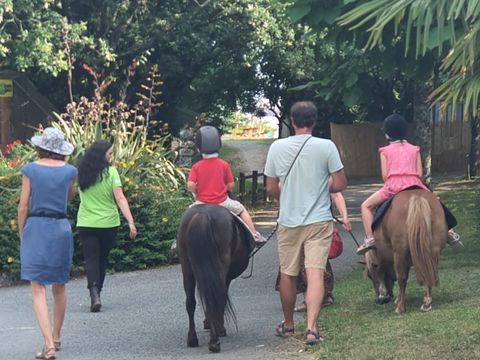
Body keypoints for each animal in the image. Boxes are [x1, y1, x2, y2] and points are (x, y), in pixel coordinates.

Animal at [175, 204, 251, 352]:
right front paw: (219, 327)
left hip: (186, 267)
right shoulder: (226, 278)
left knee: (191, 302)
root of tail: (202, 215)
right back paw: (214, 341)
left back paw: (192, 339)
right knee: (216, 297)